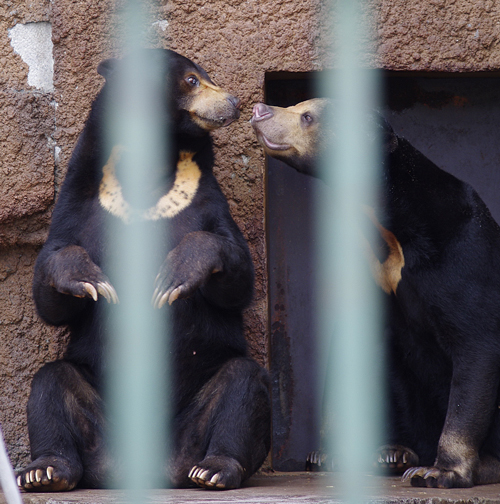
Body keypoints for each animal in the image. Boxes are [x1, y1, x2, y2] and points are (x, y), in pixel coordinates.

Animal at [16, 49, 270, 490]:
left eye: (205, 76)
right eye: (192, 80)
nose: (235, 102)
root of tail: (151, 467)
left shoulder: (204, 196)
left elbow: (236, 272)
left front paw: (173, 275)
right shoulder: (81, 198)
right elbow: (50, 281)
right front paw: (91, 279)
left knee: (243, 383)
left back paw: (215, 469)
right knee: (51, 382)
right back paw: (45, 471)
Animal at [252, 98, 500, 488]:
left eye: (307, 117)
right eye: (296, 105)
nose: (259, 109)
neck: (393, 230)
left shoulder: (465, 261)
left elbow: (476, 347)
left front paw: (440, 471)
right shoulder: (371, 266)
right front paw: (328, 455)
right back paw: (393, 452)